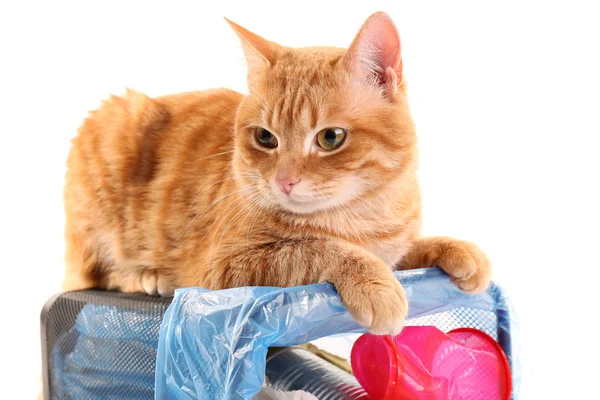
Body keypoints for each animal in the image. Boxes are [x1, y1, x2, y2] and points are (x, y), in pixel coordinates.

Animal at [62, 11, 492, 334]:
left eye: (331, 137)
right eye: (266, 138)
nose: (284, 181)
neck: (364, 214)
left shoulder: (393, 243)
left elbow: (406, 249)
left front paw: (457, 249)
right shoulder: (225, 267)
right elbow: (313, 249)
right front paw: (373, 282)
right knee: (101, 274)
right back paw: (149, 275)